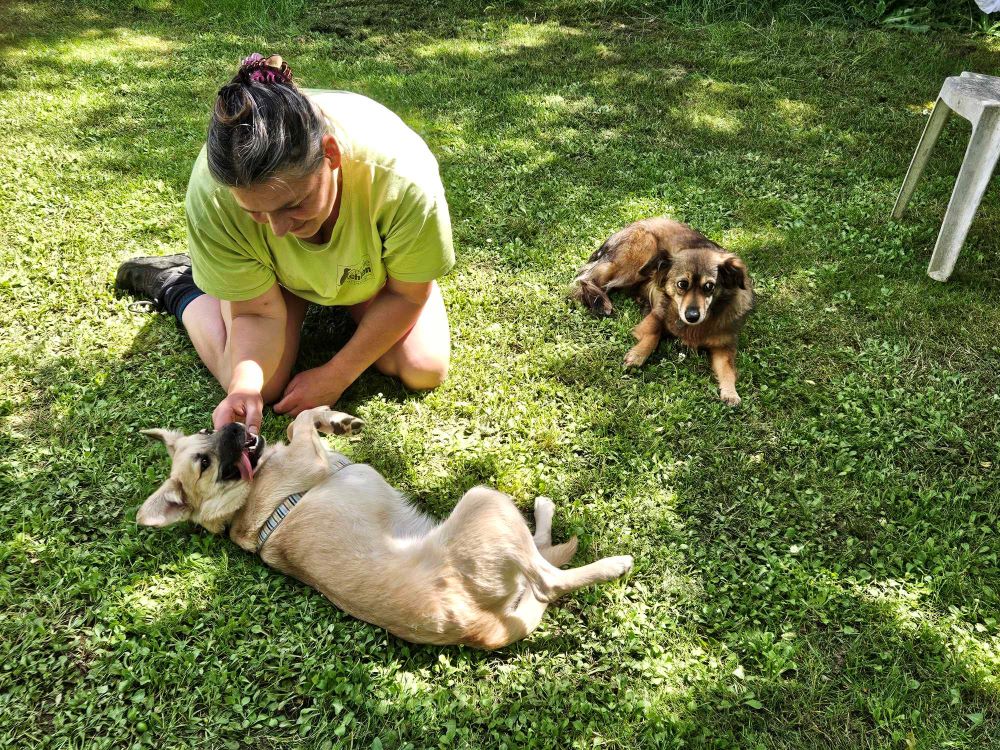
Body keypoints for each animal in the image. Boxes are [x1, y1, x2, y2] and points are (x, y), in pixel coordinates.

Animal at [576, 217, 752, 406]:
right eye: (682, 284)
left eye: (709, 286)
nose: (692, 317)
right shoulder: (657, 313)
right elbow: (654, 333)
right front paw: (638, 354)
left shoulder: (724, 345)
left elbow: (727, 369)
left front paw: (730, 392)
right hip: (641, 252)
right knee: (585, 279)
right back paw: (601, 302)